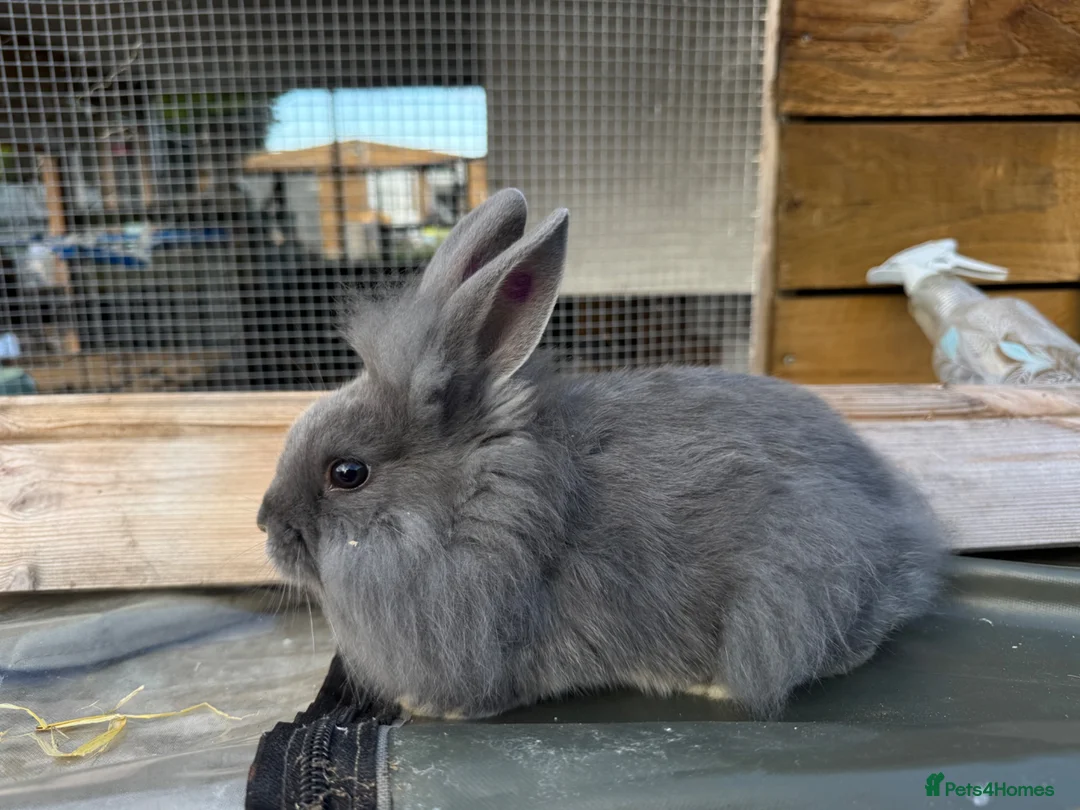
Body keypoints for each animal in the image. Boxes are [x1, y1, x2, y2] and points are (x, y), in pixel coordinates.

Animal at [257, 188, 946, 721]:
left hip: (805, 581)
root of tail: (906, 530)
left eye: (348, 473)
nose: (265, 525)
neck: (478, 507)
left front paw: (430, 707)